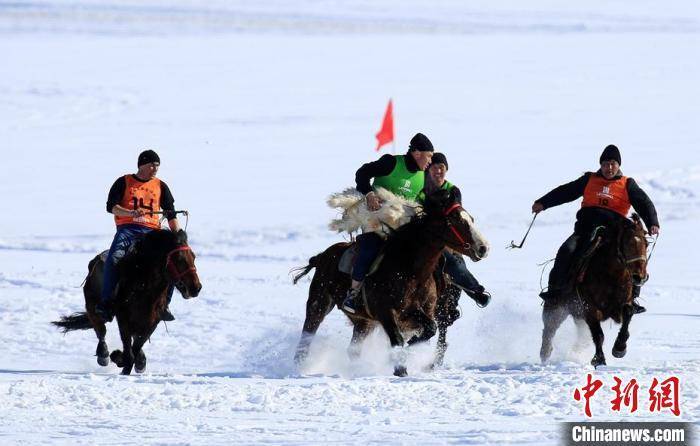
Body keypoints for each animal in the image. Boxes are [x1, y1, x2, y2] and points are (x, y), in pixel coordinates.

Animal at [53, 228, 201, 374]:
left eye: (193, 256)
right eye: (179, 259)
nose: (196, 288)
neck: (142, 282)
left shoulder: (153, 320)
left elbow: (138, 344)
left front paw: (129, 360)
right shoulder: (123, 316)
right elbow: (127, 345)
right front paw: (121, 361)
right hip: (92, 305)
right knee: (100, 330)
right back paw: (103, 354)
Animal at [290, 192, 486, 376]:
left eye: (471, 219)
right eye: (457, 220)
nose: (483, 248)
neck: (411, 271)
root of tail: (321, 256)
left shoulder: (416, 312)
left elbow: (430, 329)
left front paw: (409, 350)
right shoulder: (385, 312)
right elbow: (398, 340)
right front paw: (400, 368)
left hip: (364, 322)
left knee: (353, 349)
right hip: (319, 303)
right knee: (307, 334)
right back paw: (298, 366)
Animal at [540, 214, 652, 368]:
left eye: (646, 244)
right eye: (627, 244)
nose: (639, 277)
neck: (611, 277)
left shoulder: (624, 303)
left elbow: (628, 314)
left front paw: (619, 348)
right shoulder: (590, 308)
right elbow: (598, 335)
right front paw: (599, 360)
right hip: (556, 307)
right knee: (549, 328)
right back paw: (545, 353)